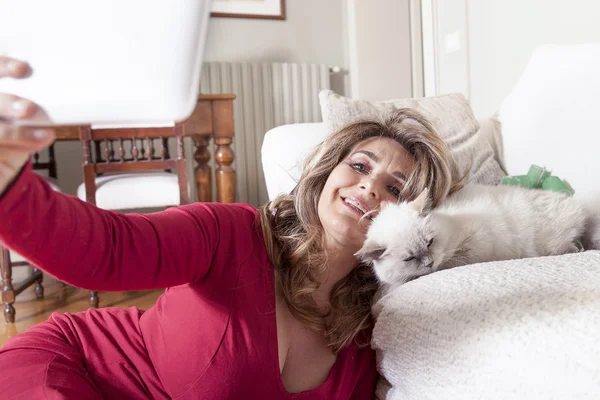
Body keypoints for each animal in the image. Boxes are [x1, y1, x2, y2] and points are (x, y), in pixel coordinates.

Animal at [354, 183, 592, 290]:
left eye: (430, 243)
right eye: (410, 258)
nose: (429, 262)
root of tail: (578, 206)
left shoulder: (476, 243)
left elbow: (454, 261)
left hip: (550, 243)